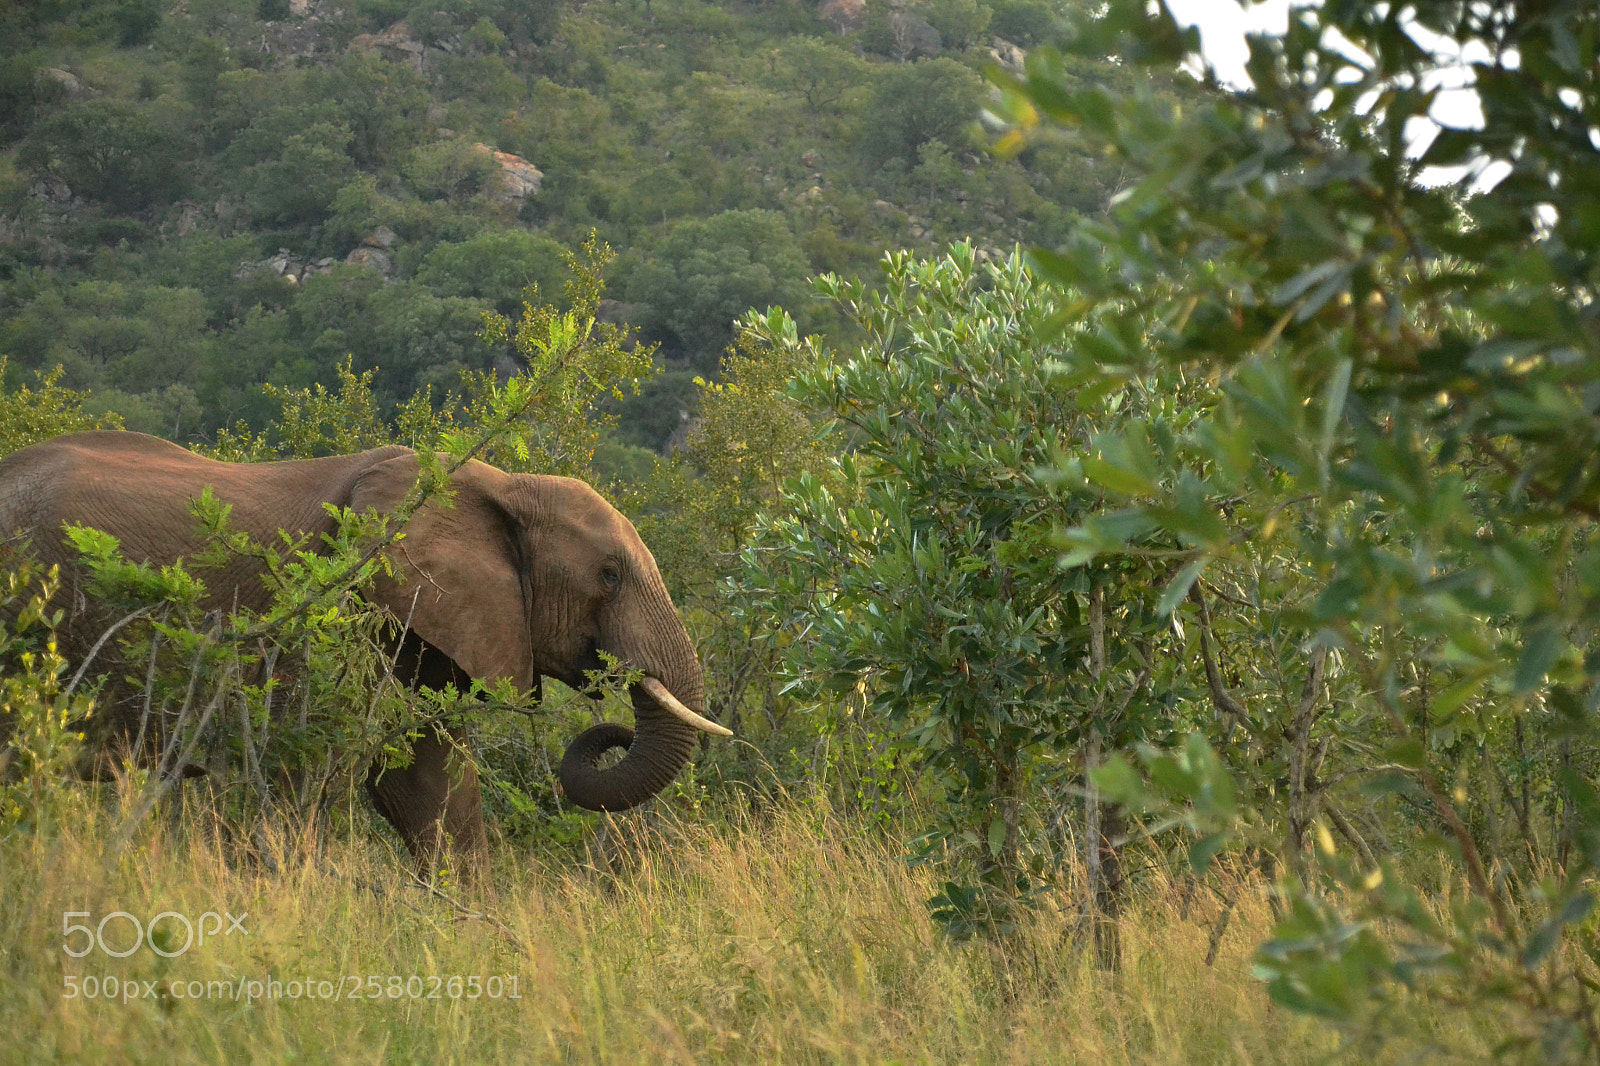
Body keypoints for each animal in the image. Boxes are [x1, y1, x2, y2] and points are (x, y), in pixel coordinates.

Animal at [0, 430, 728, 868]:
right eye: (608, 576)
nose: (612, 727)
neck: (497, 484)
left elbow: (429, 786)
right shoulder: (330, 616)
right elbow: (302, 769)